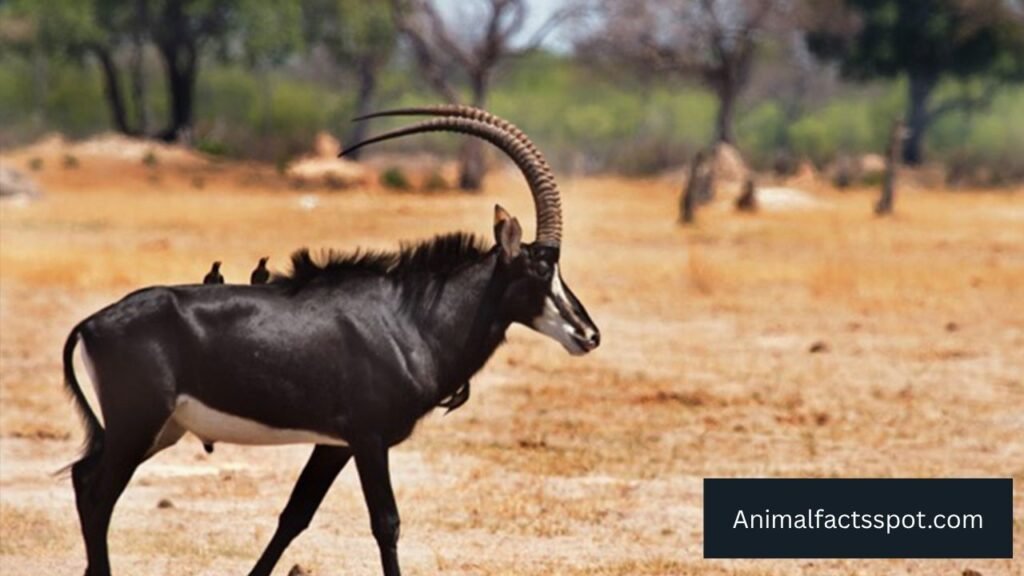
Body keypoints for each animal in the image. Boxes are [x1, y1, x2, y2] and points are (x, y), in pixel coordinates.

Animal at [61, 106, 600, 576]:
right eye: (542, 268)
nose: (588, 333)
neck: (408, 317)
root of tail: (91, 323)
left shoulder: (334, 444)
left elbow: (294, 516)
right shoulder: (369, 438)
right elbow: (386, 523)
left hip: (159, 429)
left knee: (85, 479)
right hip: (138, 425)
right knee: (98, 493)